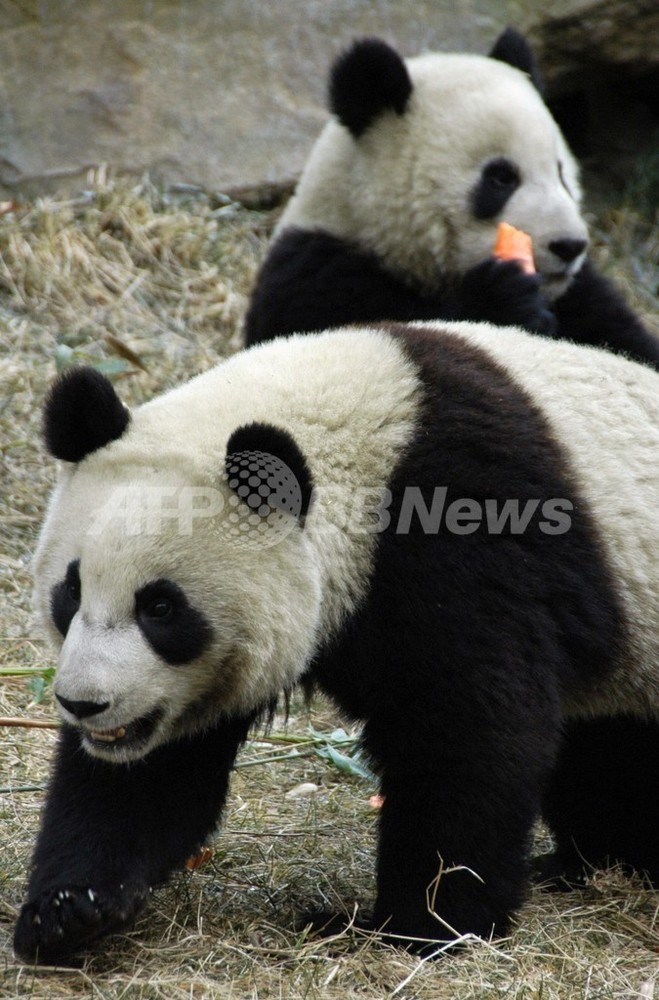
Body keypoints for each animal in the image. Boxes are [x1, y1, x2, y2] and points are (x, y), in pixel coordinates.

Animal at [11, 322, 659, 960]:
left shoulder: (470, 534)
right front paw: (70, 908)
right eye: (70, 592)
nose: (83, 704)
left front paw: (420, 924)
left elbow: (469, 733)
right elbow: (156, 775)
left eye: (161, 608)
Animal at [242, 29, 659, 370]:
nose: (570, 245)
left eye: (560, 173)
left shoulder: (585, 297)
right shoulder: (314, 276)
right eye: (501, 177)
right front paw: (501, 299)